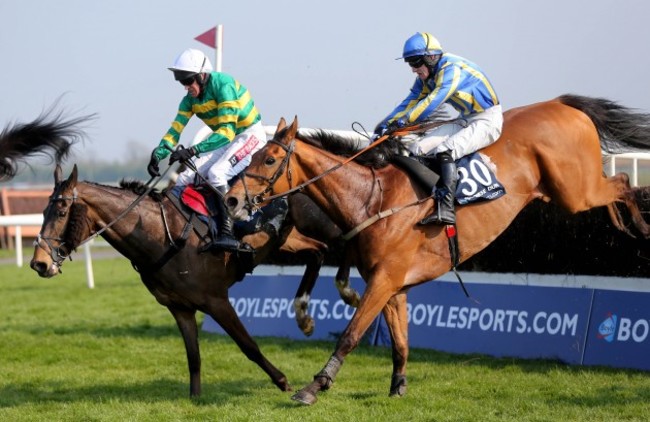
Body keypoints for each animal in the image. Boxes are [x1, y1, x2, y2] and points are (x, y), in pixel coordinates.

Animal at [225, 94, 648, 404]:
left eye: (270, 159)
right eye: (252, 155)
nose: (231, 200)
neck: (372, 199)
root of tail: (560, 103)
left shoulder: (384, 279)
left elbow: (351, 334)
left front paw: (314, 386)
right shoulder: (392, 283)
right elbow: (400, 339)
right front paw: (398, 385)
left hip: (576, 190)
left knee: (625, 182)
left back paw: (640, 224)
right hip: (573, 192)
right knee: (618, 186)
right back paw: (626, 222)